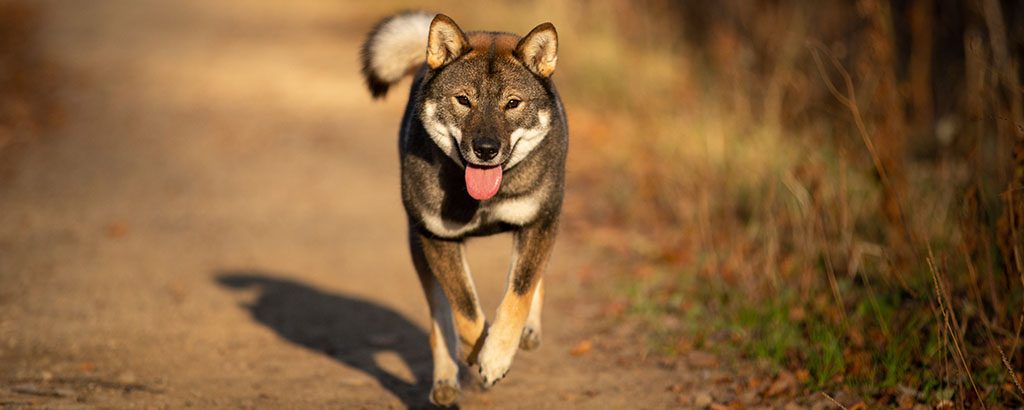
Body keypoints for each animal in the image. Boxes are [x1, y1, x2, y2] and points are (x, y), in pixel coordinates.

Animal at [360, 11, 569, 407]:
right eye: (463, 100)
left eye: (512, 103)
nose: (486, 149)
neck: (483, 201)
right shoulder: (438, 240)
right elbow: (466, 312)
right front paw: (481, 354)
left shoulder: (538, 222)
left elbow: (519, 292)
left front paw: (498, 354)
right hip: (419, 248)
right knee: (440, 319)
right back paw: (445, 380)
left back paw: (528, 332)